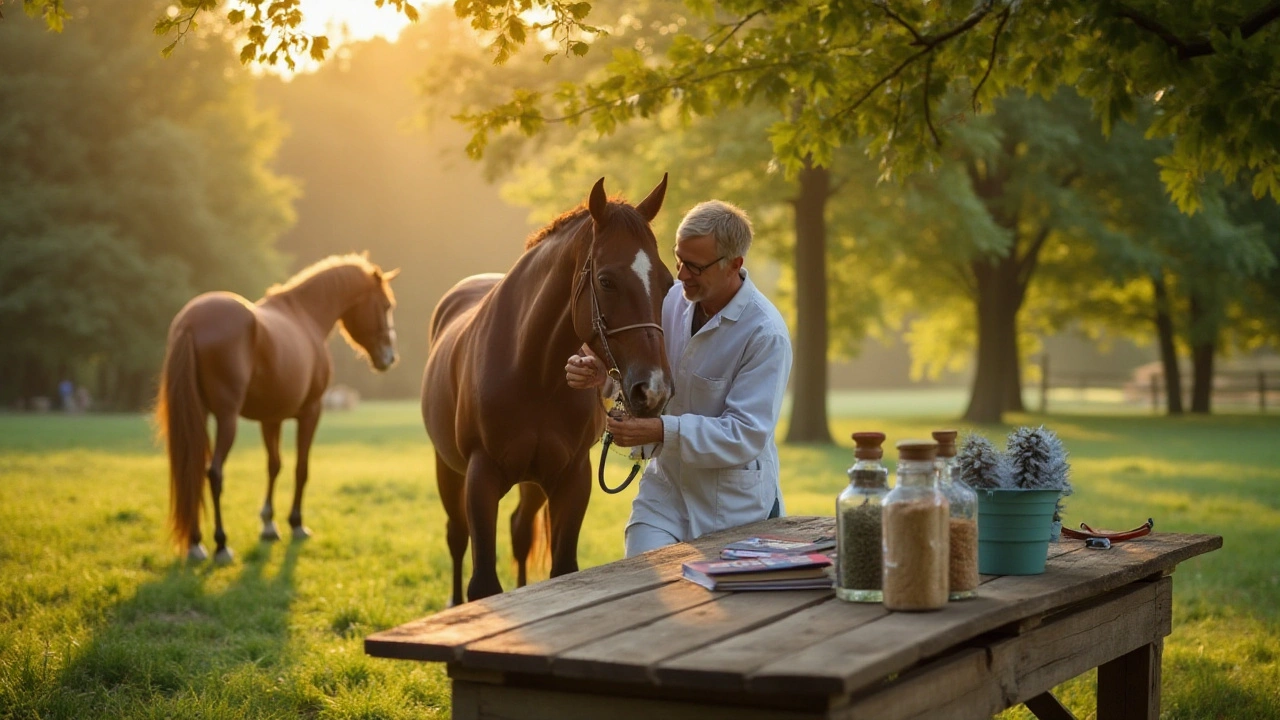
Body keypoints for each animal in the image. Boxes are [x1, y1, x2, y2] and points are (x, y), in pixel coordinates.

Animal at [158, 254, 399, 563]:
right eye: (386, 305)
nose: (389, 357)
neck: (305, 316)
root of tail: (190, 322)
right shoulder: (310, 412)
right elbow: (301, 468)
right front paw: (296, 524)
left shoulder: (270, 418)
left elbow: (274, 465)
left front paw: (269, 525)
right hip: (227, 418)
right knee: (214, 473)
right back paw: (221, 545)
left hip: (198, 416)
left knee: (193, 469)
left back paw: (195, 543)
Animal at [424, 175, 675, 599]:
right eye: (606, 280)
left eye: (668, 280)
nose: (653, 389)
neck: (532, 371)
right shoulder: (479, 478)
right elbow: (483, 582)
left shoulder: (571, 477)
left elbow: (562, 568)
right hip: (448, 468)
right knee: (456, 537)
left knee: (520, 531)